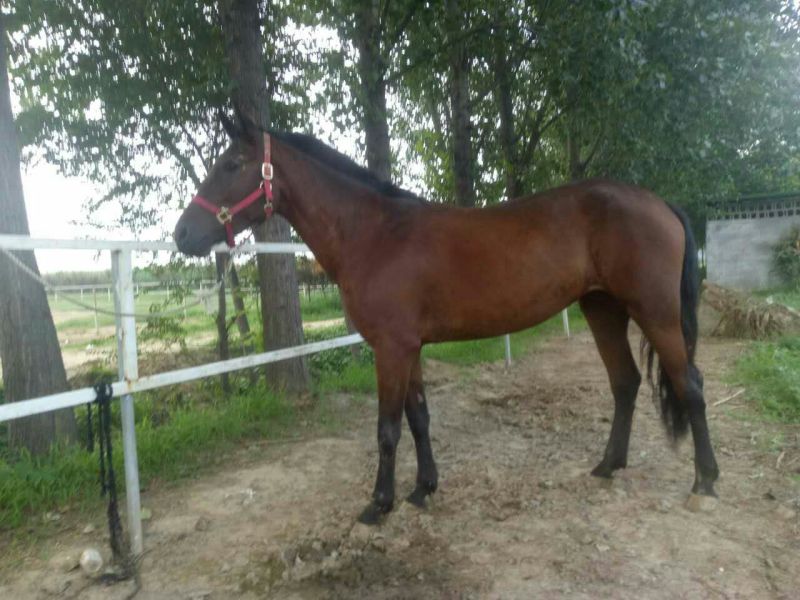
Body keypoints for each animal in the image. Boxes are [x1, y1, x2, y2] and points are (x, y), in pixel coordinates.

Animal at [173, 112, 719, 524]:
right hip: (602, 309)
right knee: (625, 383)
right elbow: (418, 418)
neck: (374, 234)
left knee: (689, 384)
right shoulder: (408, 347)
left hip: (656, 313)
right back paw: (608, 466)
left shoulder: (391, 349)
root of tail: (659, 202)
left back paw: (705, 482)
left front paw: (379, 505)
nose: (182, 235)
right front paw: (423, 489)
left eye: (233, 163)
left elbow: (387, 427)